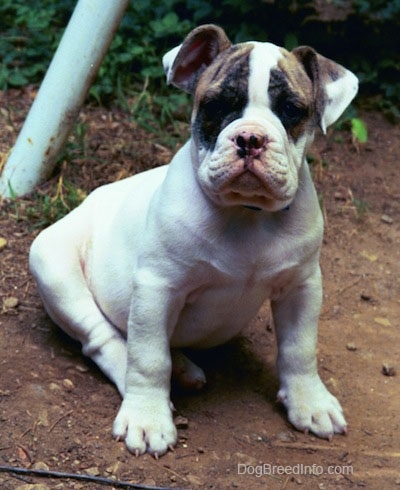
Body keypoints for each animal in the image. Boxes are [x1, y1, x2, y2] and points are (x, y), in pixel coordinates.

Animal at [29, 24, 358, 458]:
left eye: (291, 111)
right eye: (216, 106)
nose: (250, 138)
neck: (246, 213)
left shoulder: (301, 286)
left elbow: (300, 348)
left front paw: (311, 403)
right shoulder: (158, 288)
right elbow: (148, 358)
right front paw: (148, 418)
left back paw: (183, 367)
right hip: (53, 265)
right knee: (104, 339)